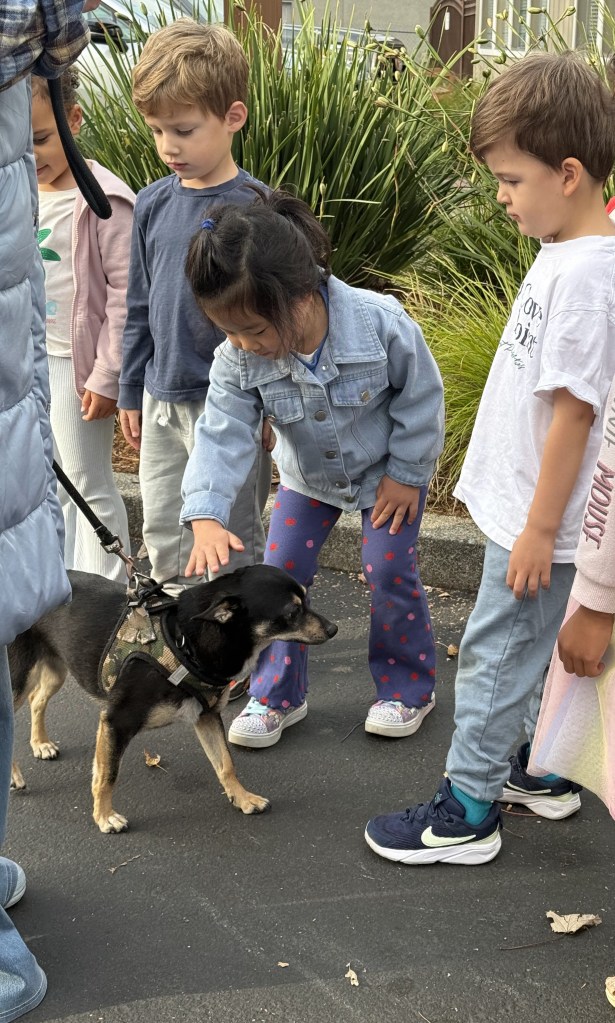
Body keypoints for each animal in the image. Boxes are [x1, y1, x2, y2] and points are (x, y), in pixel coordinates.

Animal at [9, 564, 337, 833]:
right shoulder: (116, 721)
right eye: (292, 612)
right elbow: (107, 774)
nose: (333, 629)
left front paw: (242, 798)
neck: (185, 640)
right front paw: (104, 816)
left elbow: (225, 763)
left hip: (56, 667)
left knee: (38, 700)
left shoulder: (207, 716)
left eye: (306, 599)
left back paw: (41, 743)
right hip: (16, 680)